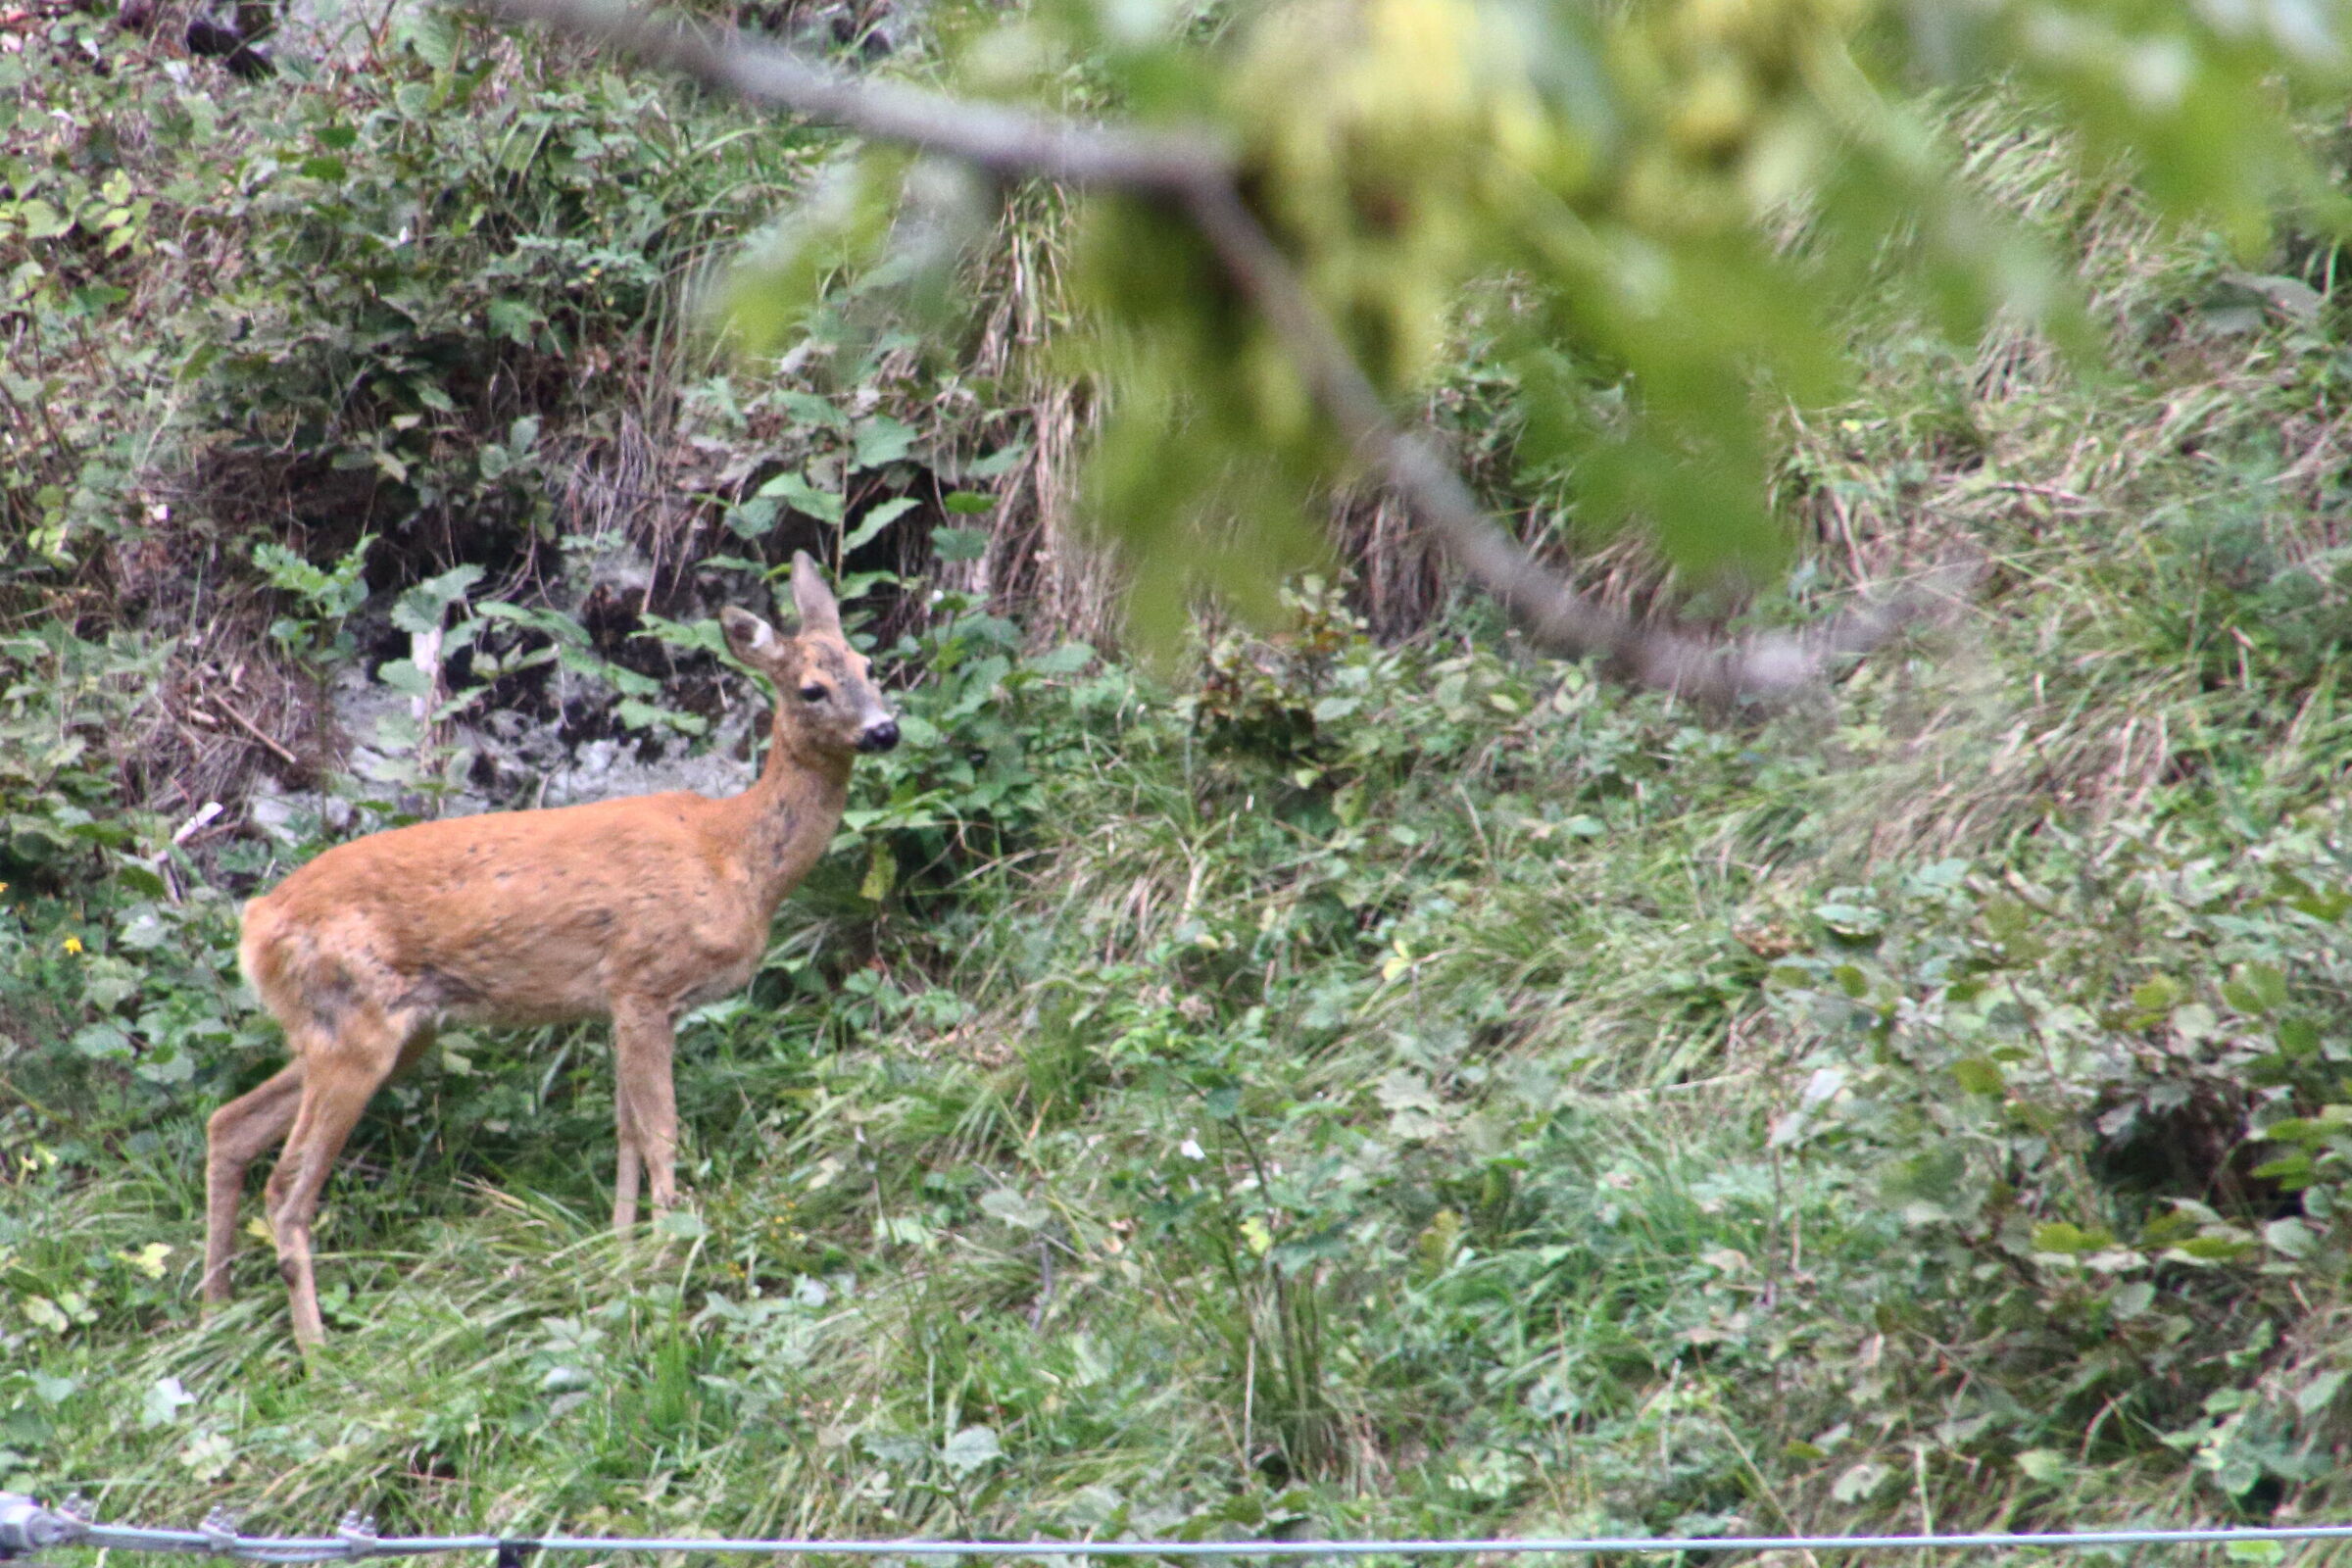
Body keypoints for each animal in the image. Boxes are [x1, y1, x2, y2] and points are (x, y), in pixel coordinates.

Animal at [201, 553, 899, 1347]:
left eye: (869, 665)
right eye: (813, 689)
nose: (885, 730)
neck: (736, 858)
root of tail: (256, 925)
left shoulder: (624, 1005)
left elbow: (626, 1133)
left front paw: (623, 1255)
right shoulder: (643, 984)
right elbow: (660, 1133)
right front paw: (670, 1257)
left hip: (376, 1030)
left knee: (228, 1125)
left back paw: (214, 1313)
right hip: (354, 1029)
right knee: (287, 1188)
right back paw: (317, 1352)